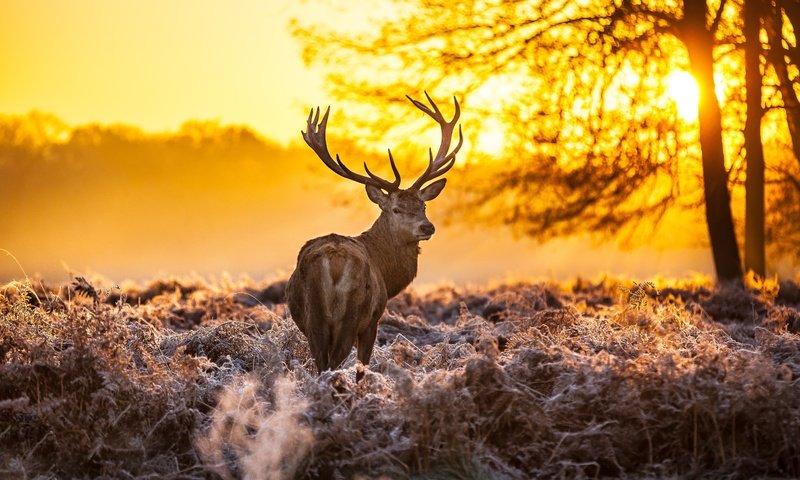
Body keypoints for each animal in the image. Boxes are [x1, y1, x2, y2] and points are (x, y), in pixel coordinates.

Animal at [288, 93, 462, 378]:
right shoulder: (373, 319)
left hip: (314, 319)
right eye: (396, 208)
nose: (427, 227)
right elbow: (363, 366)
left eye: (423, 206)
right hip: (352, 314)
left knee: (321, 364)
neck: (387, 273)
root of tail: (333, 262)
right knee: (335, 362)